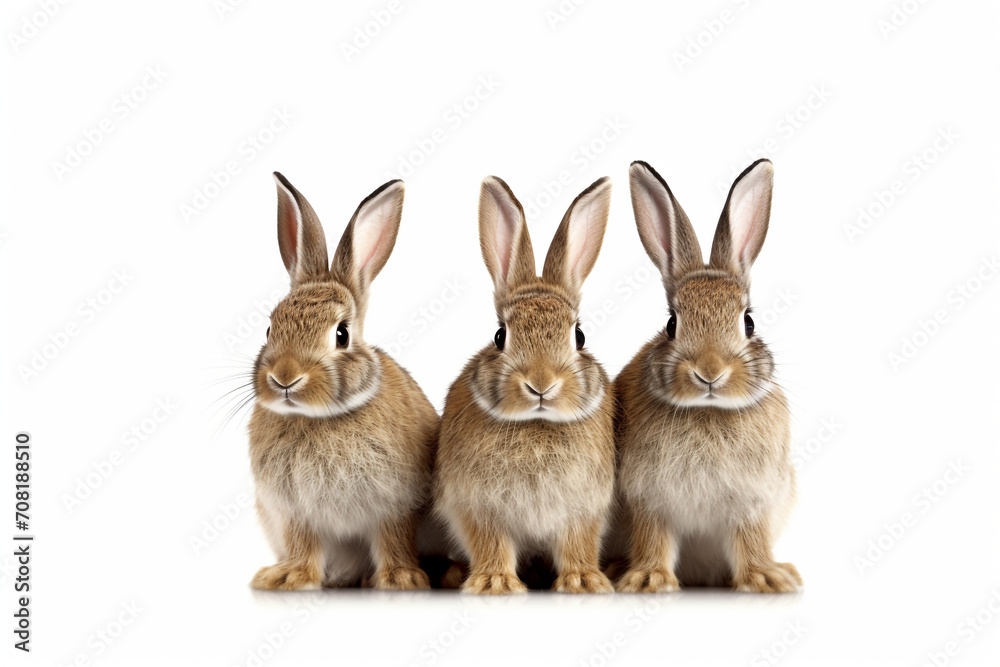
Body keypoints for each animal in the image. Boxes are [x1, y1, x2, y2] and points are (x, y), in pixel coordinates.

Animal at [247, 172, 439, 591]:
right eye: (269, 329)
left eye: (342, 334)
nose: (284, 378)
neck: (318, 417)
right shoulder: (297, 511)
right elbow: (303, 543)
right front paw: (291, 577)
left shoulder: (395, 504)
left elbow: (393, 537)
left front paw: (400, 579)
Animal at [434, 175, 616, 594]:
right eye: (500, 336)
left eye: (579, 336)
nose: (541, 384)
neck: (537, 423)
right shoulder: (478, 506)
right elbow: (491, 542)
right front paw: (494, 583)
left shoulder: (584, 508)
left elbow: (578, 541)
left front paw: (583, 581)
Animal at [614, 159, 801, 594]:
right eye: (671, 324)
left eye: (748, 322)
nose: (710, 373)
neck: (707, 410)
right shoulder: (648, 499)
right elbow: (653, 535)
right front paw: (648, 579)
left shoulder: (751, 502)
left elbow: (750, 537)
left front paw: (767, 578)